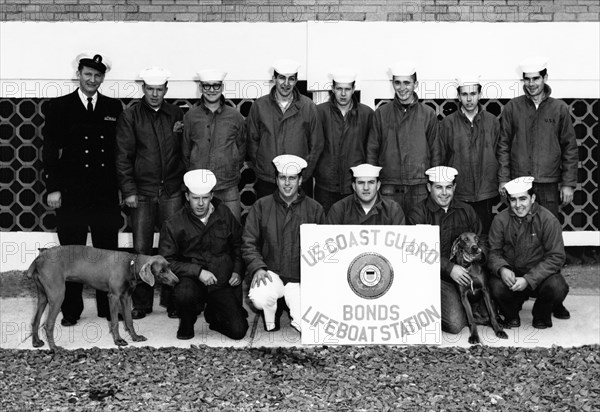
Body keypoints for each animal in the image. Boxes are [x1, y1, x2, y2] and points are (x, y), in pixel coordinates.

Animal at [28, 246, 178, 350]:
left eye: (169, 267)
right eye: (162, 271)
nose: (177, 281)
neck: (131, 263)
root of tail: (39, 258)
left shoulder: (126, 297)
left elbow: (129, 320)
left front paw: (135, 337)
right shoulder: (113, 296)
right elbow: (115, 321)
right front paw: (118, 340)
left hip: (43, 297)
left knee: (35, 321)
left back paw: (36, 342)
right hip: (57, 295)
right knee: (48, 324)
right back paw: (54, 348)